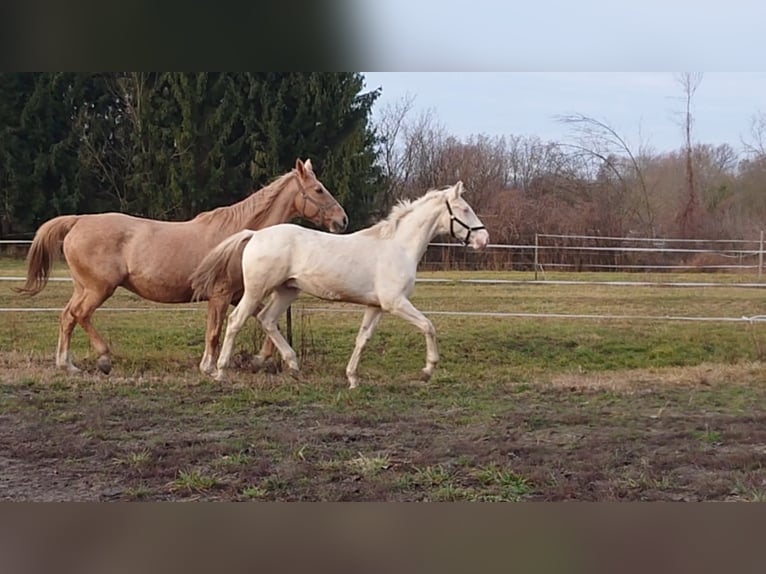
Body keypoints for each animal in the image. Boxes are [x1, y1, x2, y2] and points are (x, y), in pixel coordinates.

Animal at [18, 158, 348, 376]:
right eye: (318, 190)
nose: (342, 220)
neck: (239, 235)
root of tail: (77, 221)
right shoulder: (220, 295)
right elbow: (214, 332)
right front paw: (209, 367)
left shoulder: (237, 295)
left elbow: (264, 320)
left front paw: (262, 358)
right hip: (99, 288)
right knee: (79, 315)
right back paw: (104, 357)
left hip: (84, 287)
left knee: (66, 317)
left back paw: (67, 364)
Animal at [192, 183, 492, 392]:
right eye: (464, 209)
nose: (484, 240)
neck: (398, 246)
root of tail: (254, 235)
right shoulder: (395, 303)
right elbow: (428, 326)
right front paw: (428, 370)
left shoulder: (376, 306)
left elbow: (363, 339)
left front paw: (352, 379)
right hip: (257, 290)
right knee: (235, 321)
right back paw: (220, 372)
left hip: (287, 290)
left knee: (267, 320)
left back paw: (294, 366)